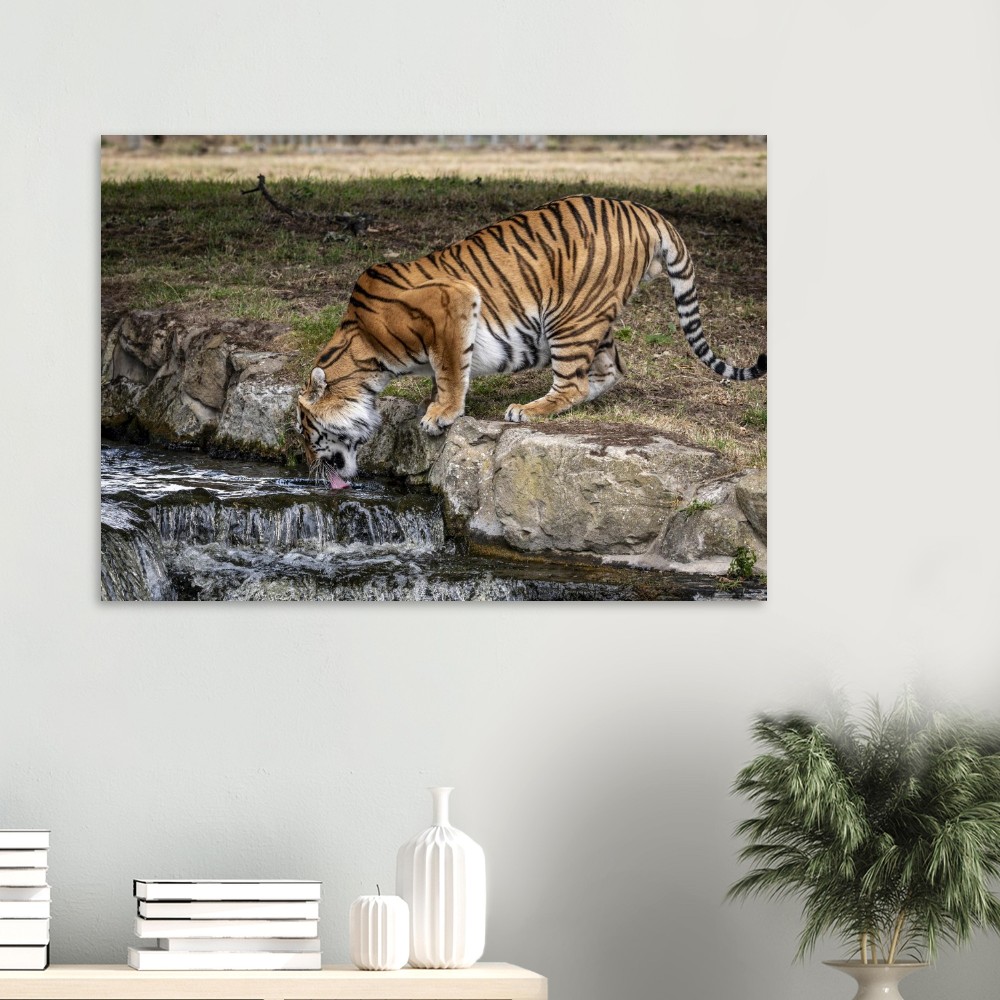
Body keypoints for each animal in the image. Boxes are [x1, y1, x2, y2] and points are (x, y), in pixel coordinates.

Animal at [297, 194, 765, 488]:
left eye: (305, 432)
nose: (307, 468)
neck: (365, 356)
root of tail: (645, 210)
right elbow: (445, 372)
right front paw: (433, 405)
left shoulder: (453, 302)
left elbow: (450, 370)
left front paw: (441, 415)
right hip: (592, 318)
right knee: (610, 370)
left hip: (569, 316)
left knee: (573, 382)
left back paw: (527, 409)